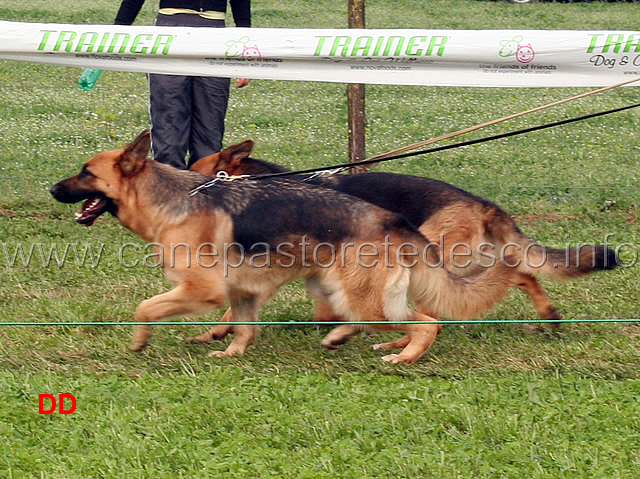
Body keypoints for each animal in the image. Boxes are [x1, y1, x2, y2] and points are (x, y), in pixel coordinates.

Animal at [50, 131, 516, 364]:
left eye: (86, 173)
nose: (52, 189)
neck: (172, 200)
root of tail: (391, 219)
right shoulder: (243, 291)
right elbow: (242, 325)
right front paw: (231, 351)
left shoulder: (205, 290)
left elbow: (145, 307)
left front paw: (140, 342)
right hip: (336, 285)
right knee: (365, 318)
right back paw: (347, 339)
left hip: (366, 297)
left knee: (425, 322)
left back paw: (403, 357)